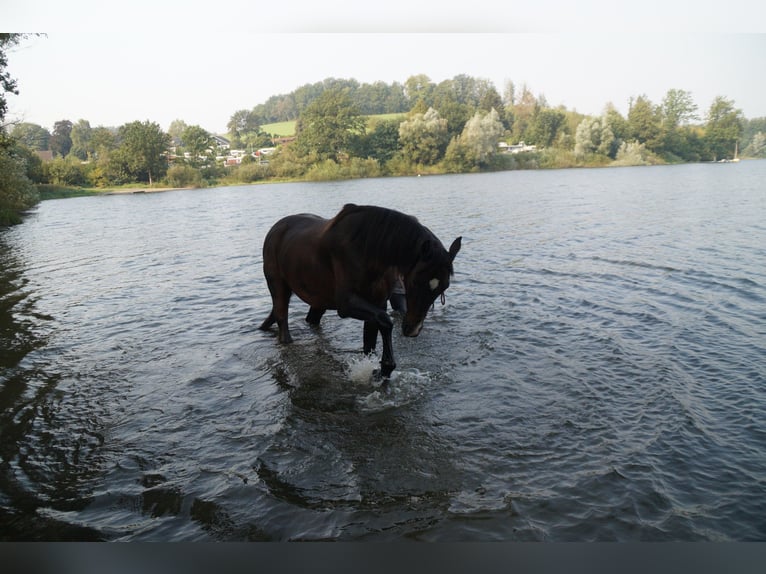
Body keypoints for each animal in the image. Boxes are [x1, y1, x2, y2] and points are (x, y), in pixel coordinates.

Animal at [260, 205, 462, 380]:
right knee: (282, 320)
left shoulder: (376, 302)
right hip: (278, 287)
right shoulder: (346, 304)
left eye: (444, 287)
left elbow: (370, 342)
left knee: (311, 320)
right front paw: (385, 367)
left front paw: (377, 370)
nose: (412, 329)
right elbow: (385, 321)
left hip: (319, 299)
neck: (368, 251)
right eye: (415, 281)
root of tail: (275, 229)